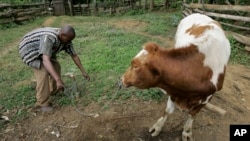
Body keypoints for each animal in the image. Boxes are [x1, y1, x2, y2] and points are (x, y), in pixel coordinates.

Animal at [121, 12, 230, 140]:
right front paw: (157, 127)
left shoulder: (206, 98)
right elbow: (168, 111)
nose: (122, 78)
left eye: (135, 66)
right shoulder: (173, 89)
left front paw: (187, 132)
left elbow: (192, 115)